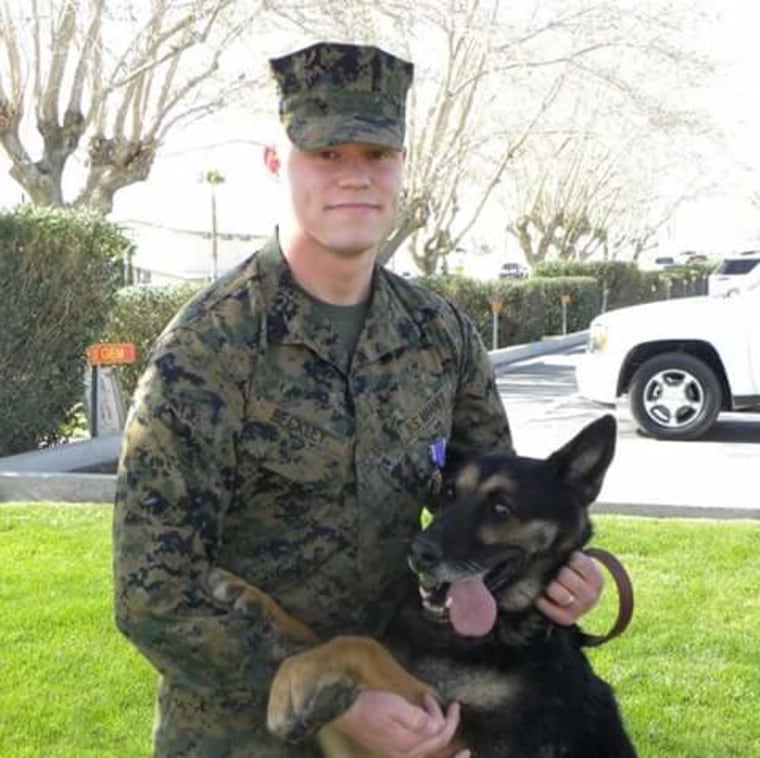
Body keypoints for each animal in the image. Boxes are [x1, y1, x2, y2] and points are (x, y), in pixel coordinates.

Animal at [206, 416, 636, 758]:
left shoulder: (445, 737)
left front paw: (291, 682)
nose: (418, 553)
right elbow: (324, 635)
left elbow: (361, 645)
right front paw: (249, 596)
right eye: (447, 495)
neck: (501, 629)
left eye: (502, 509)